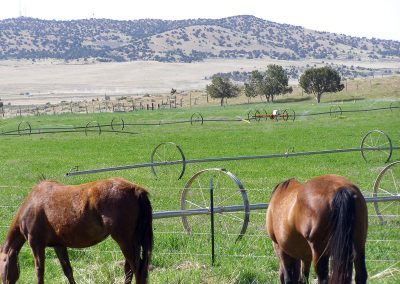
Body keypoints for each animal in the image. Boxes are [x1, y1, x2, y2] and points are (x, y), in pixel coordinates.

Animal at [0, 178, 153, 284]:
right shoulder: (59, 245)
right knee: (130, 269)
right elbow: (68, 270)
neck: (31, 204)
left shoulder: (36, 244)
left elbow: (39, 271)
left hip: (124, 241)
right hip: (133, 241)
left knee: (137, 268)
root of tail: (136, 190)